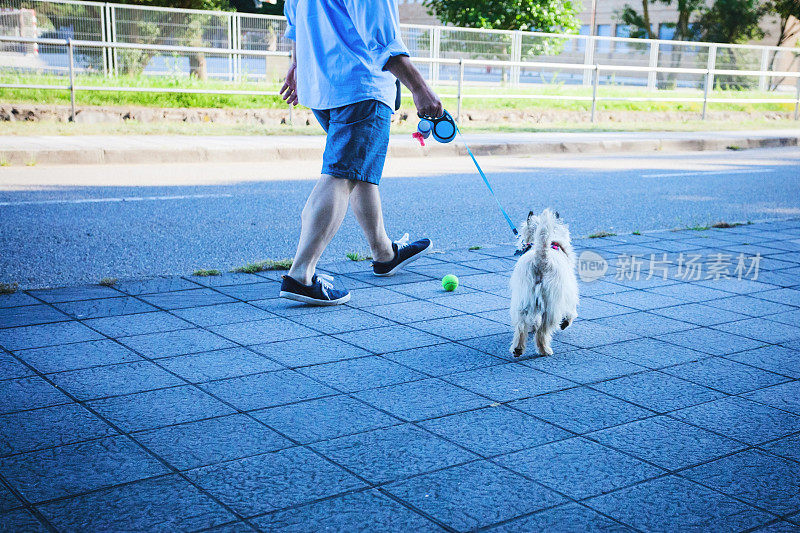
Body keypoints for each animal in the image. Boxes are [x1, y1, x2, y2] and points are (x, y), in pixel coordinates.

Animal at [510, 208, 580, 358]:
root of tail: (542, 256)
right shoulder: (569, 291)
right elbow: (571, 310)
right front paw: (566, 321)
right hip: (551, 304)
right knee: (543, 330)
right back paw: (544, 350)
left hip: (523, 299)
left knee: (520, 325)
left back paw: (518, 349)